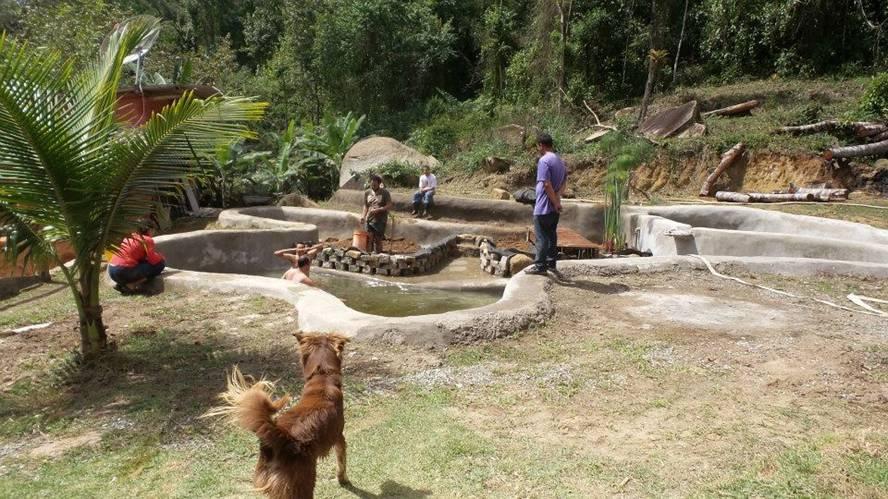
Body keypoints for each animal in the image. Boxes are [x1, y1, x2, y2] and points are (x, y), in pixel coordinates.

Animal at [206, 332, 348, 499]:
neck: (322, 378)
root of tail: (280, 438)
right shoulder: (339, 437)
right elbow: (341, 462)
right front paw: (343, 480)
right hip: (303, 483)